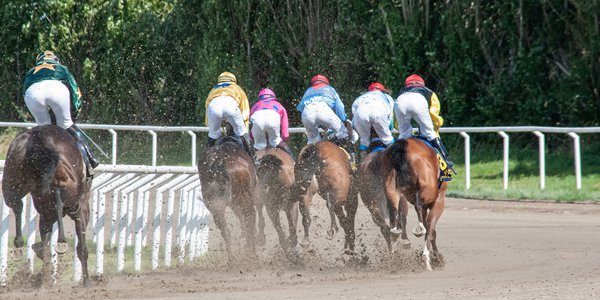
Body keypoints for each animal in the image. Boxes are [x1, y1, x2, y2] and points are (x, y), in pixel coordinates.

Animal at [1, 124, 92, 286]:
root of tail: (40, 138)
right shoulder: (83, 204)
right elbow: (81, 244)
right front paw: (86, 281)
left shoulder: (44, 211)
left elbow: (46, 236)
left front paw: (45, 278)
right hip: (65, 183)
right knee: (63, 204)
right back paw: (60, 242)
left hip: (11, 177)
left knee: (16, 205)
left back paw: (19, 246)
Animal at [382, 138, 442, 270]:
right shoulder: (438, 202)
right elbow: (431, 230)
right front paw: (436, 258)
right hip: (427, 192)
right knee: (419, 206)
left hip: (391, 187)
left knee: (393, 211)